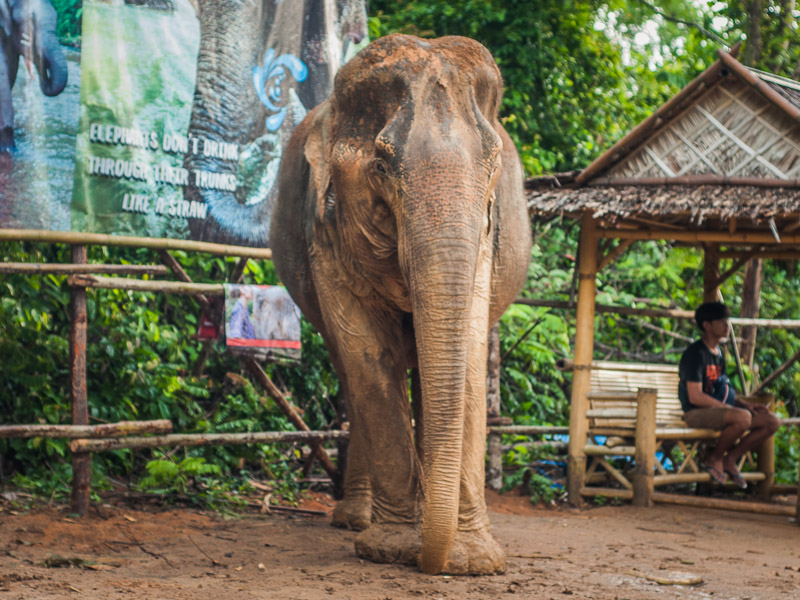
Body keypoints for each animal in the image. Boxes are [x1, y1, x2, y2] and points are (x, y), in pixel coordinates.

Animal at [272, 34, 536, 576]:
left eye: (493, 171)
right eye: (380, 166)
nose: (428, 564)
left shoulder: (485, 238)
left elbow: (470, 357)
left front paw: (473, 562)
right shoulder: (322, 230)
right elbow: (369, 356)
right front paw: (392, 549)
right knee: (351, 372)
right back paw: (356, 521)